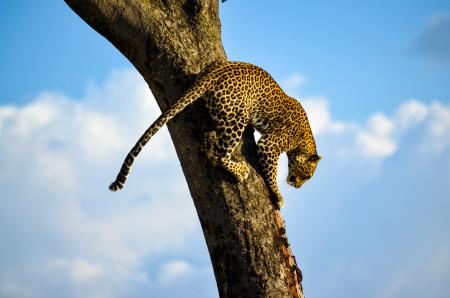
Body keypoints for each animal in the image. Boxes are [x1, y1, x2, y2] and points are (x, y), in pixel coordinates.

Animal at [108, 61, 320, 208]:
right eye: (307, 175)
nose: (297, 186)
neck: (304, 140)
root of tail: (213, 74)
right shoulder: (270, 145)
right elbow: (272, 173)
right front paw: (278, 196)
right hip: (238, 117)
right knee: (218, 155)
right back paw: (241, 171)